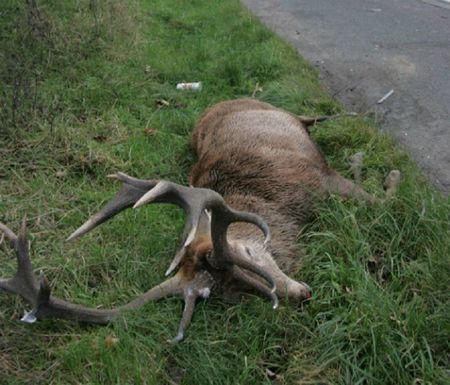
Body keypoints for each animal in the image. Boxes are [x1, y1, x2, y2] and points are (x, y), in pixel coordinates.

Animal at [0, 97, 400, 340]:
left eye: (249, 256)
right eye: (230, 294)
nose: (301, 294)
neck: (282, 207)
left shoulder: (318, 177)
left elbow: (381, 198)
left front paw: (386, 170)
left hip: (279, 110)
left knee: (311, 116)